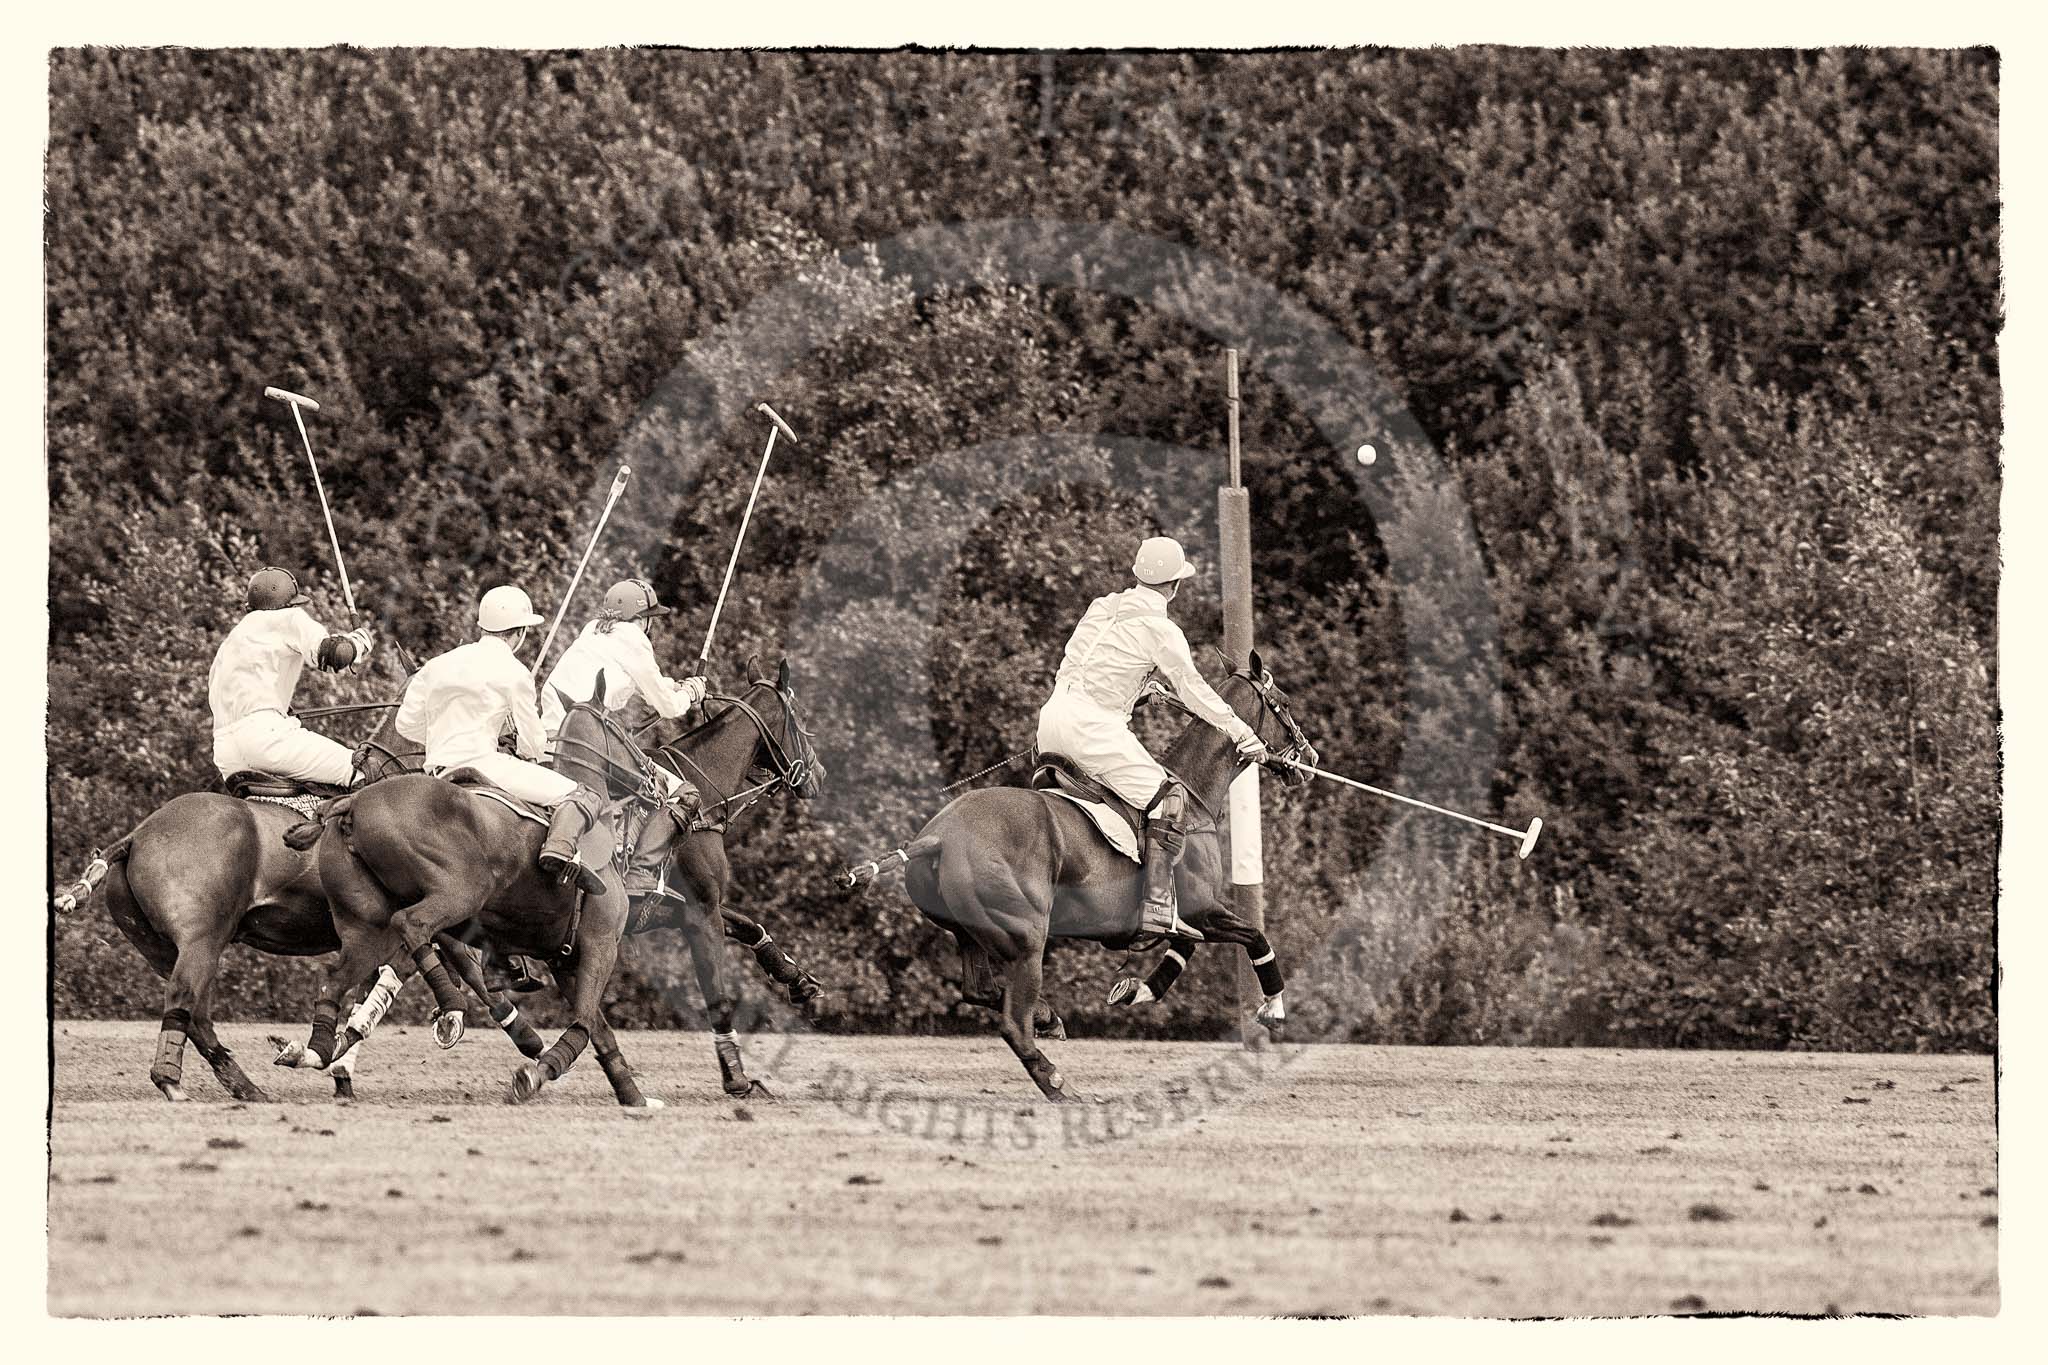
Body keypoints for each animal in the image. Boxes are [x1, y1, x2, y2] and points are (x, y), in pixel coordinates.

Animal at [51, 701, 542, 1103]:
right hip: (202, 938)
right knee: (185, 999)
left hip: (161, 948)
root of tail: (135, 836)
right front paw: (518, 1038)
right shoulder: (419, 918)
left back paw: (245, 1086)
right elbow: (456, 971)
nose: (519, 749)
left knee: (197, 1015)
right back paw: (173, 1081)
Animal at [843, 651, 1316, 1102]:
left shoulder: (1189, 917)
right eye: (1285, 703)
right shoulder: (1200, 909)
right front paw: (1274, 1010)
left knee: (979, 991)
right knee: (1011, 1022)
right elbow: (1255, 937)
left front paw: (1135, 990)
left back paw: (1048, 1018)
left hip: (970, 933)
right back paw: (1056, 1082)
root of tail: (937, 836)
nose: (1309, 758)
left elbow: (1185, 946)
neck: (1195, 796)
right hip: (1026, 936)